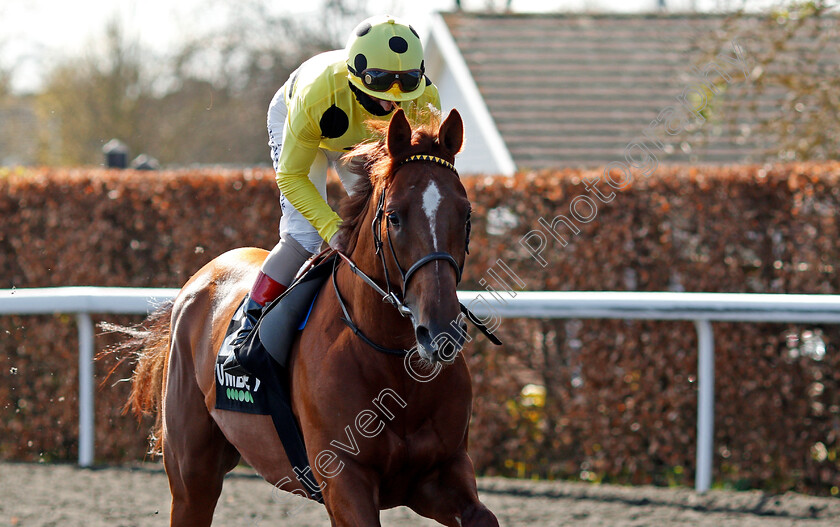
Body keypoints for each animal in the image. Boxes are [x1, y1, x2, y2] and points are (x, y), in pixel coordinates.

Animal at [130, 109, 498, 524]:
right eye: (394, 217)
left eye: (466, 215)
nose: (439, 332)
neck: (393, 368)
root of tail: (200, 278)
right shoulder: (344, 481)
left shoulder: (440, 472)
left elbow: (483, 516)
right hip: (192, 473)